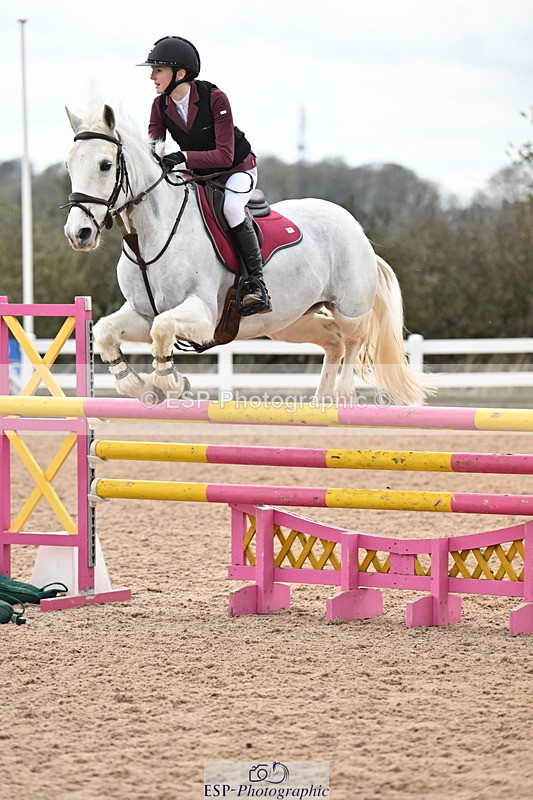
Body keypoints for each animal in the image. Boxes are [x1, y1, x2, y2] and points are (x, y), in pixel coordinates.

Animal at [63, 103, 434, 405]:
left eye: (105, 165)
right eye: (68, 165)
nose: (78, 233)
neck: (150, 238)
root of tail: (357, 230)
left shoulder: (203, 314)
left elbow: (163, 329)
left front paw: (169, 381)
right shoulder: (141, 313)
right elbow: (107, 331)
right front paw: (137, 386)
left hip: (349, 308)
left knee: (353, 340)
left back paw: (342, 394)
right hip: (289, 322)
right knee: (333, 340)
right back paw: (322, 401)